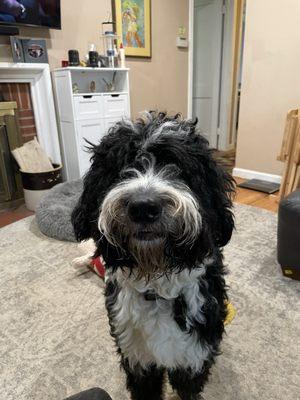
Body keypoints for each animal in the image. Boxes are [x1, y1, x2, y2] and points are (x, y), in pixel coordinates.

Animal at [72, 112, 234, 400]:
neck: (158, 288)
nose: (143, 207)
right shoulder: (138, 360)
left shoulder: (194, 358)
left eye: (177, 167)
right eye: (122, 167)